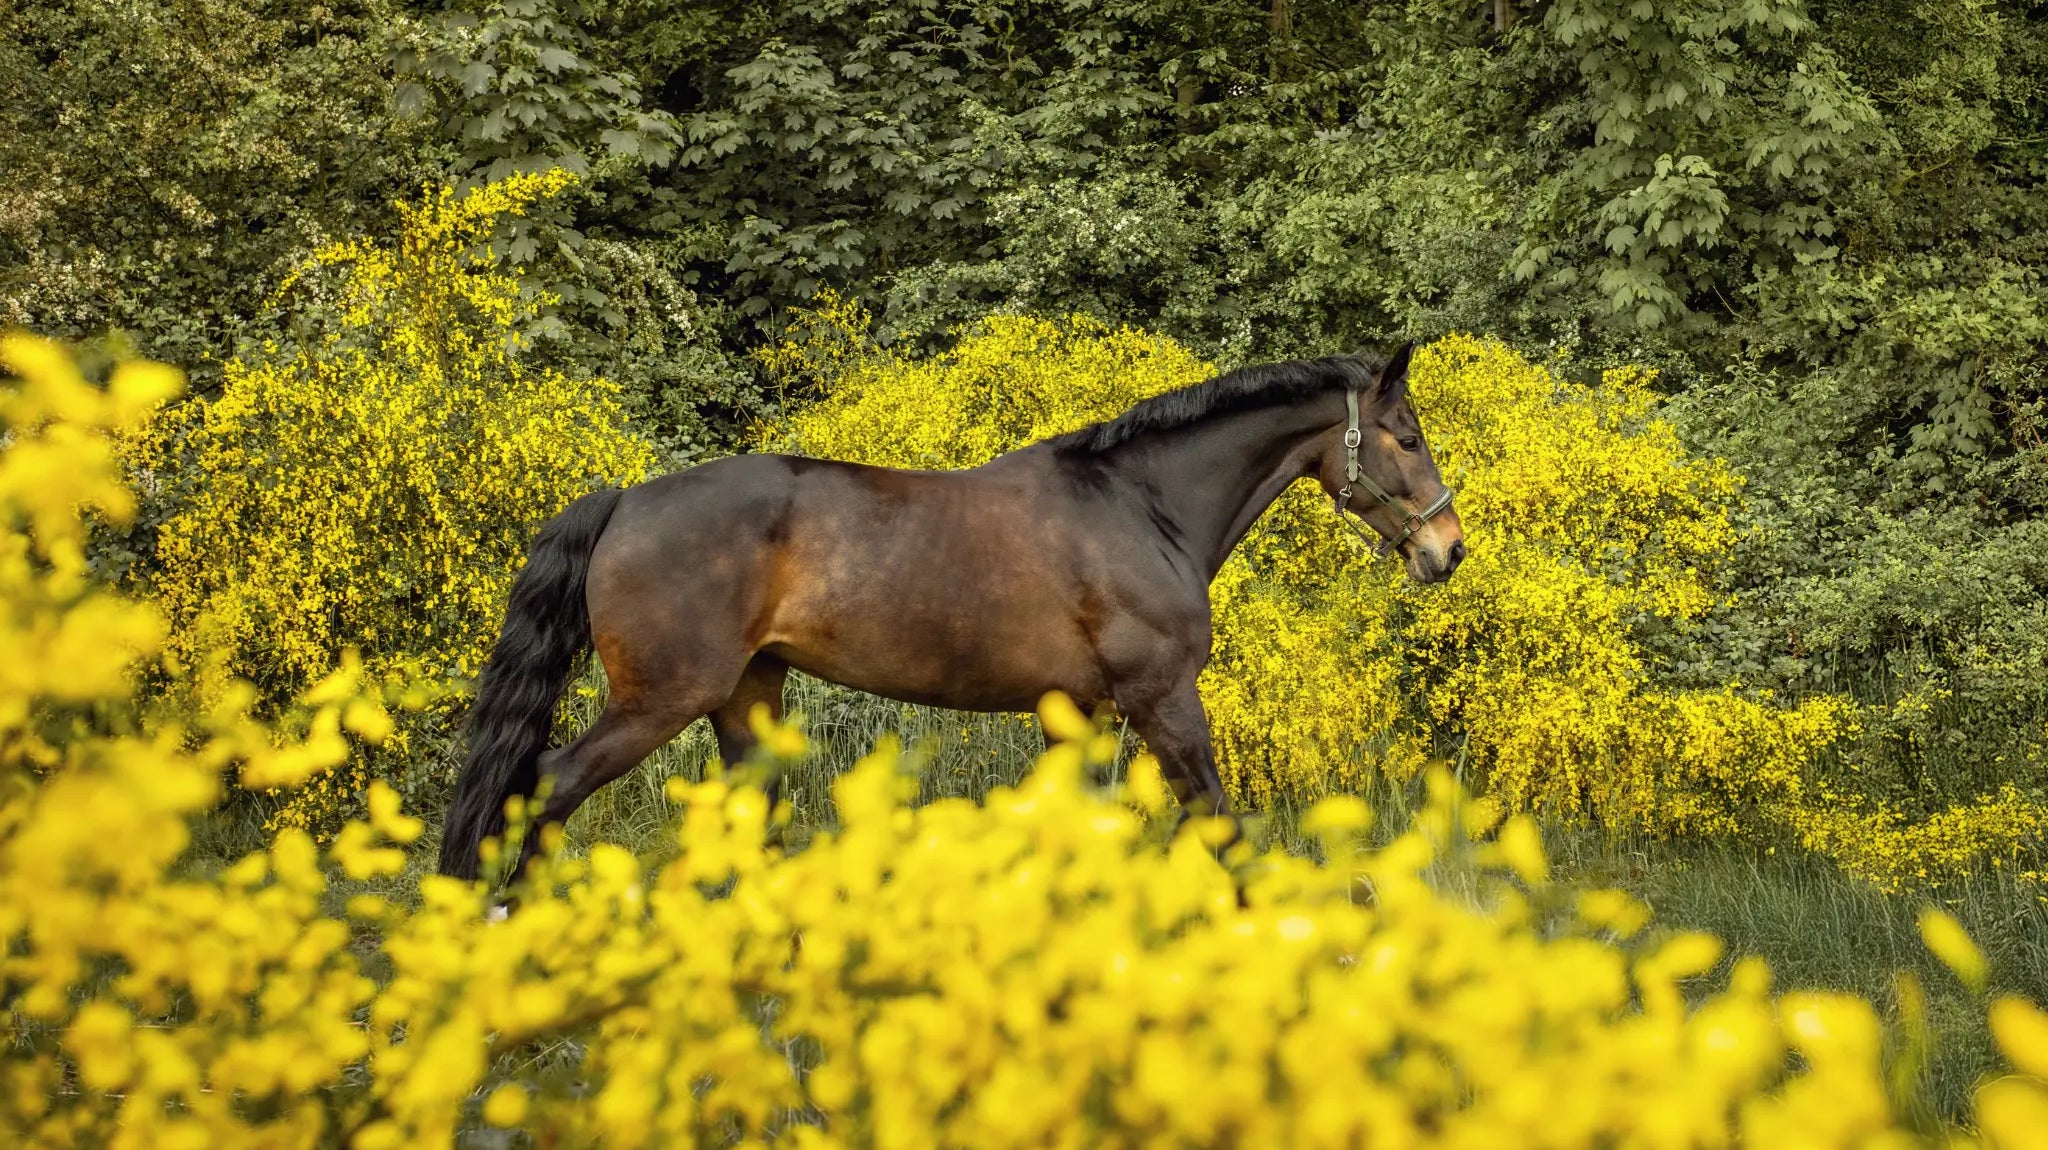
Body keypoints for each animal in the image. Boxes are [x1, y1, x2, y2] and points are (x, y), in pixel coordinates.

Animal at [438, 341, 1464, 880]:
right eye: (1407, 436)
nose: (1446, 551)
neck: (1141, 506)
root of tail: (625, 502)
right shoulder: (1162, 701)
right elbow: (1216, 819)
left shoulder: (1078, 711)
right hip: (661, 700)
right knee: (547, 785)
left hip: (747, 699)